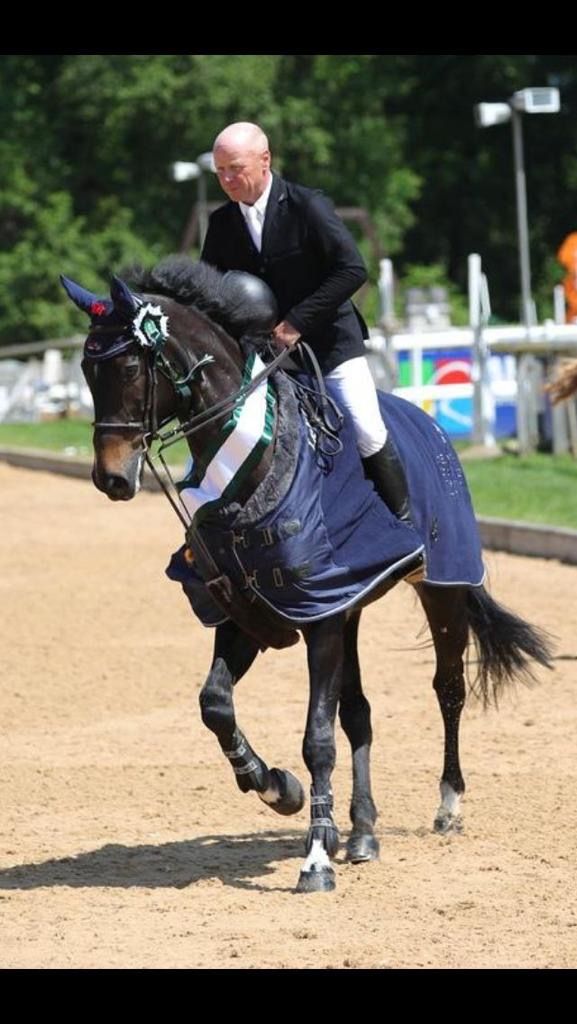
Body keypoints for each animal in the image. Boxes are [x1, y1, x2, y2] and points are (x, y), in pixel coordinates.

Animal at [61, 257, 552, 893]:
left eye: (124, 366)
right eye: (84, 369)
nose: (113, 479)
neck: (254, 458)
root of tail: (432, 426)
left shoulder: (317, 618)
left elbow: (317, 737)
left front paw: (316, 856)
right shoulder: (253, 611)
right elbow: (216, 704)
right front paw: (276, 788)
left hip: (442, 589)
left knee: (448, 690)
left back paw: (447, 806)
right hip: (349, 609)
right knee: (359, 713)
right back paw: (363, 832)